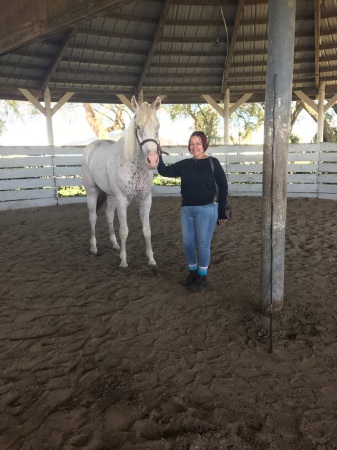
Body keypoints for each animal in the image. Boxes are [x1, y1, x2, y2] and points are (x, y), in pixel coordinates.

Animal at [81, 96, 160, 268]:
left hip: (111, 196)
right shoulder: (123, 201)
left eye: (158, 126)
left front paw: (151, 259)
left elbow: (147, 230)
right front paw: (123, 262)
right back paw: (93, 248)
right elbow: (124, 231)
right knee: (93, 218)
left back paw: (115, 245)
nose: (152, 160)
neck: (132, 163)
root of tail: (90, 147)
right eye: (138, 127)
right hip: (92, 192)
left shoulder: (145, 200)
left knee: (109, 216)